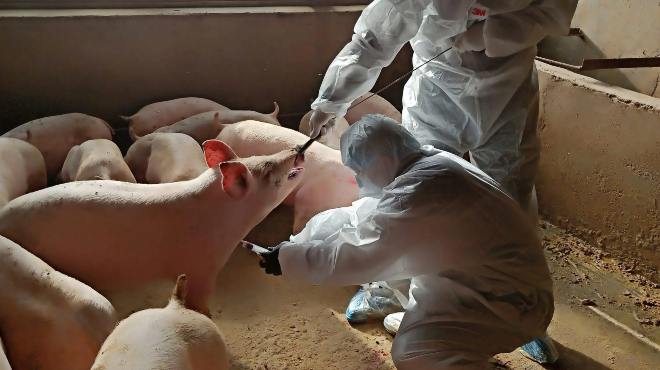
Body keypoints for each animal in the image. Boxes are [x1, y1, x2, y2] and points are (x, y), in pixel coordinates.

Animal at [0, 139, 304, 316]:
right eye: (268, 170)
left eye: (260, 156)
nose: (297, 149)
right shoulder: (201, 266)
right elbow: (199, 301)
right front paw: (206, 317)